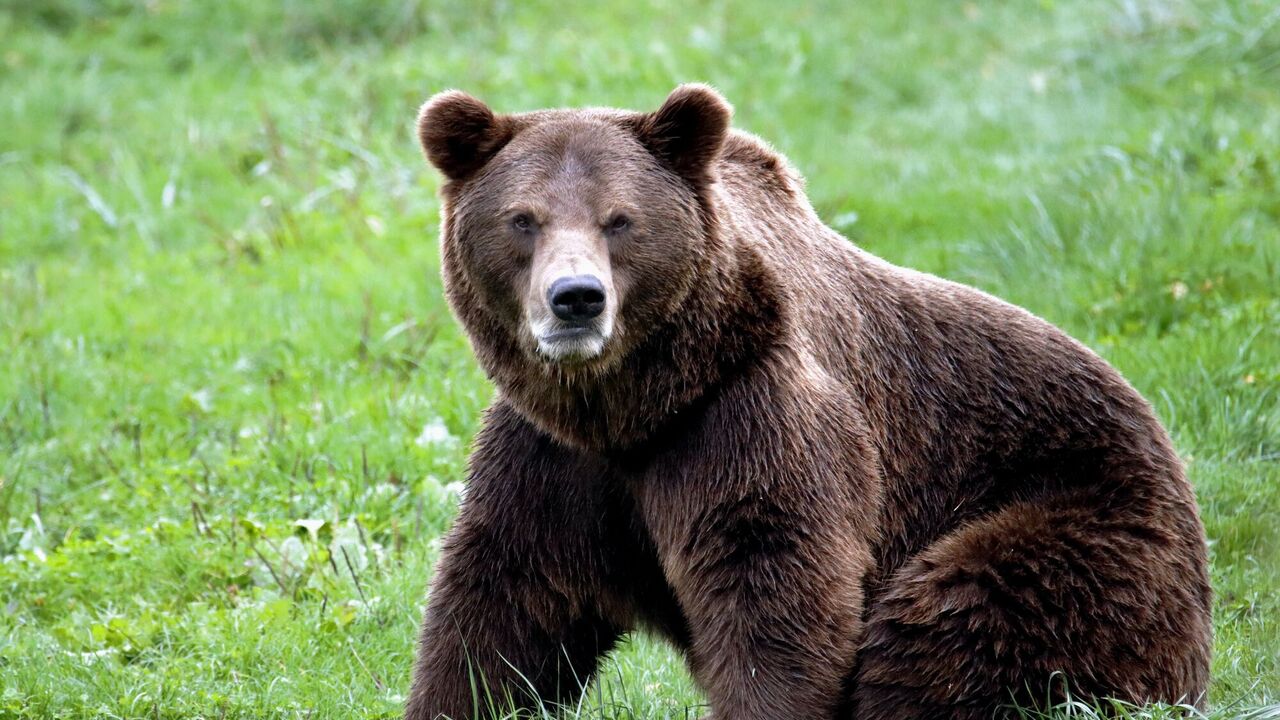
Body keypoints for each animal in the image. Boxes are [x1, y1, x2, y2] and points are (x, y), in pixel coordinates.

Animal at [404, 84, 1212, 720]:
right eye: (523, 218)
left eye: (620, 219)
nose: (576, 299)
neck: (633, 406)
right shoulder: (556, 460)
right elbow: (504, 607)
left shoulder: (747, 415)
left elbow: (775, 585)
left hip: (1079, 521)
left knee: (954, 619)